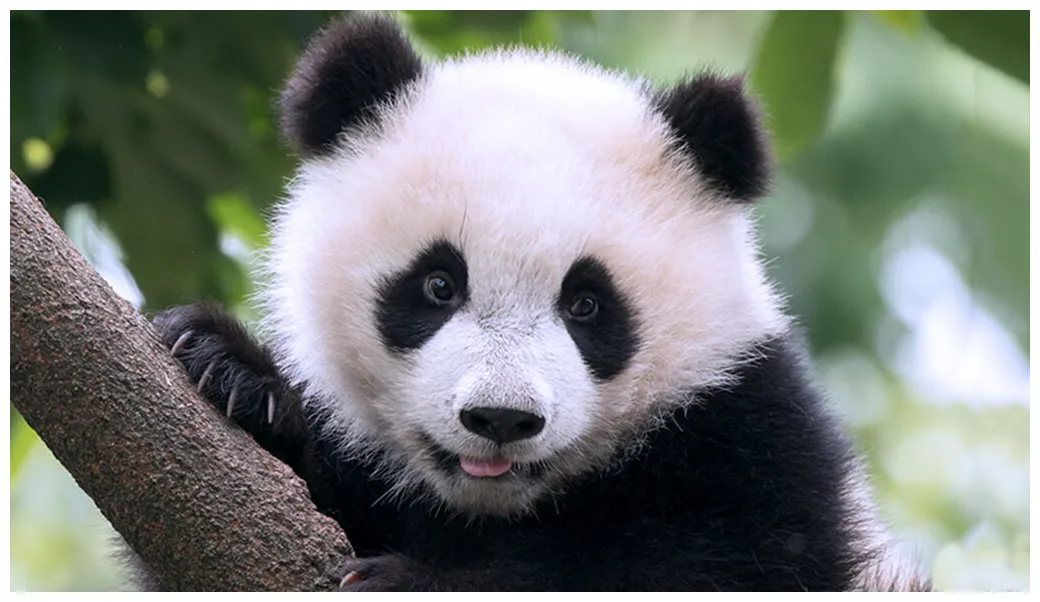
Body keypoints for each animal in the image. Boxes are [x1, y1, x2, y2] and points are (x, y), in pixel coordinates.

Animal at [148, 12, 926, 591]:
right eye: (438, 285)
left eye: (587, 305)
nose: (501, 418)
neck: (489, 508)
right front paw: (232, 371)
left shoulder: (752, 432)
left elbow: (711, 562)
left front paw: (410, 581)